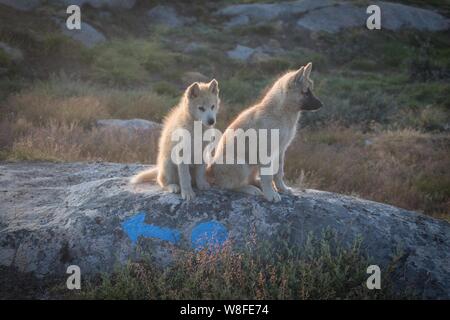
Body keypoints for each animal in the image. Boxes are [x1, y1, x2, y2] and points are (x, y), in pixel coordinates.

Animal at [209, 62, 322, 202]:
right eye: (306, 92)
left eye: (311, 90)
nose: (321, 104)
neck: (279, 113)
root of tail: (211, 172)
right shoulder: (267, 152)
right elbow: (268, 177)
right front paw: (271, 195)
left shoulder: (281, 150)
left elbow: (279, 173)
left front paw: (282, 188)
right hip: (242, 165)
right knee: (228, 185)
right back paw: (251, 189)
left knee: (248, 179)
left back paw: (257, 184)